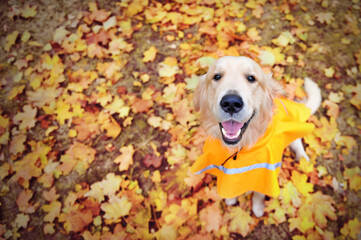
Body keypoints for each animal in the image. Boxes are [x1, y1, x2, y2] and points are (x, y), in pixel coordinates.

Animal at [191, 56, 320, 218]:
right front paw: (231, 198)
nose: (231, 103)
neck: (240, 147)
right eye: (217, 76)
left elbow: (259, 193)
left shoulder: (266, 174)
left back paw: (303, 159)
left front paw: (258, 207)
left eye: (251, 78)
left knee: (297, 142)